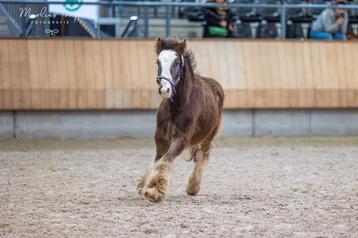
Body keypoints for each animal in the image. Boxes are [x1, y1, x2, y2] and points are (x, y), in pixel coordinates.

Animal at [137, 37, 224, 203]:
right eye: (158, 62)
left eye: (176, 62)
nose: (165, 90)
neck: (177, 107)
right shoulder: (160, 138)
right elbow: (157, 161)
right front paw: (145, 185)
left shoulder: (182, 139)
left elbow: (164, 161)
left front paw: (154, 191)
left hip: (210, 134)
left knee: (202, 155)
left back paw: (193, 187)